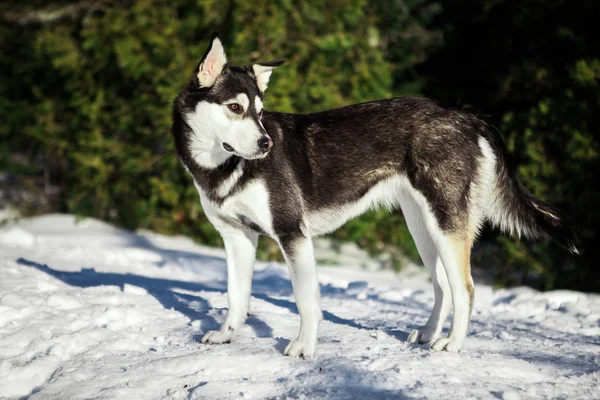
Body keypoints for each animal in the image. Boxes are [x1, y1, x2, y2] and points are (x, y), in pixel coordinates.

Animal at [171, 34, 580, 358]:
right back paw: (429, 333)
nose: (266, 143)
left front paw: (304, 348)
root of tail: (464, 114)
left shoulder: (292, 236)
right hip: (423, 229)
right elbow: (236, 296)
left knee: (465, 288)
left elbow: (306, 302)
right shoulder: (237, 238)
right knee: (444, 287)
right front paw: (226, 336)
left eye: (259, 112)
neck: (225, 166)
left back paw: (452, 343)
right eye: (235, 108)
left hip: (445, 225)